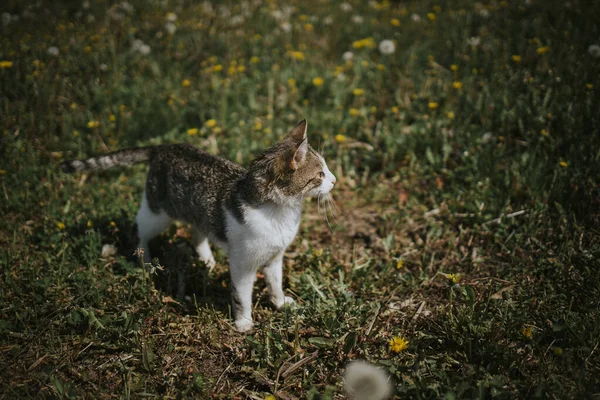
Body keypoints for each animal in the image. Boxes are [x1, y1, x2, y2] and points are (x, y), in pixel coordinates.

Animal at [61, 120, 338, 332]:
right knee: (138, 229)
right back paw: (145, 261)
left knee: (197, 231)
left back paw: (205, 259)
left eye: (326, 169)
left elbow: (275, 284)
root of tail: (165, 147)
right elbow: (242, 296)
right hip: (157, 213)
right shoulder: (242, 264)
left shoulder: (274, 256)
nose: (335, 180)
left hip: (193, 213)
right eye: (320, 174)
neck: (280, 213)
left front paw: (280, 304)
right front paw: (243, 323)